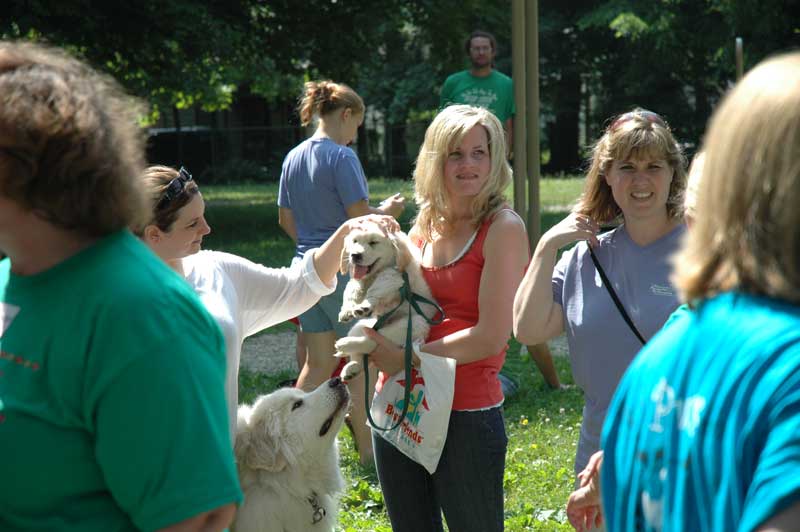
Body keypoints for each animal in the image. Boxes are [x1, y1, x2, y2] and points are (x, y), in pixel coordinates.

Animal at [336, 222, 440, 380]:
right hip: (360, 327)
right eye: (354, 242)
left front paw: (365, 304)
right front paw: (347, 310)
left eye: (373, 242)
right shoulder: (361, 279)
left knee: (373, 341)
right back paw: (351, 368)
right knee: (362, 351)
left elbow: (382, 282)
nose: (355, 255)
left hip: (416, 324)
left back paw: (344, 344)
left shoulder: (397, 275)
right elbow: (352, 288)